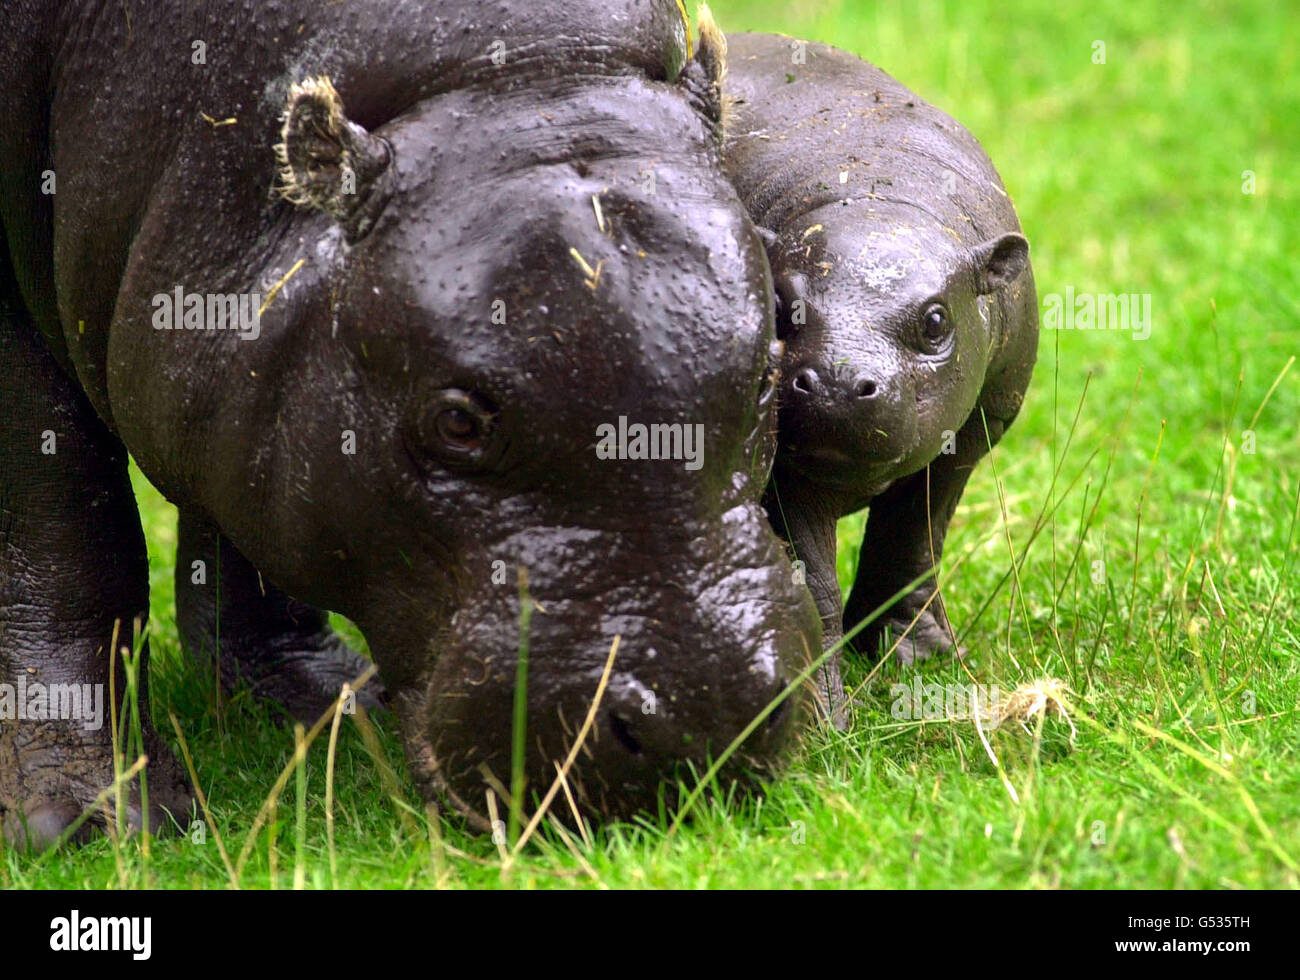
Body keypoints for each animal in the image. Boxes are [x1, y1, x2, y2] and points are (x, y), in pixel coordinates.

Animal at [0, 0, 821, 842]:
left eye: (767, 373)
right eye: (457, 422)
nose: (706, 719)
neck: (513, 81)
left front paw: (321, 704)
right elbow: (63, 528)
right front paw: (88, 817)